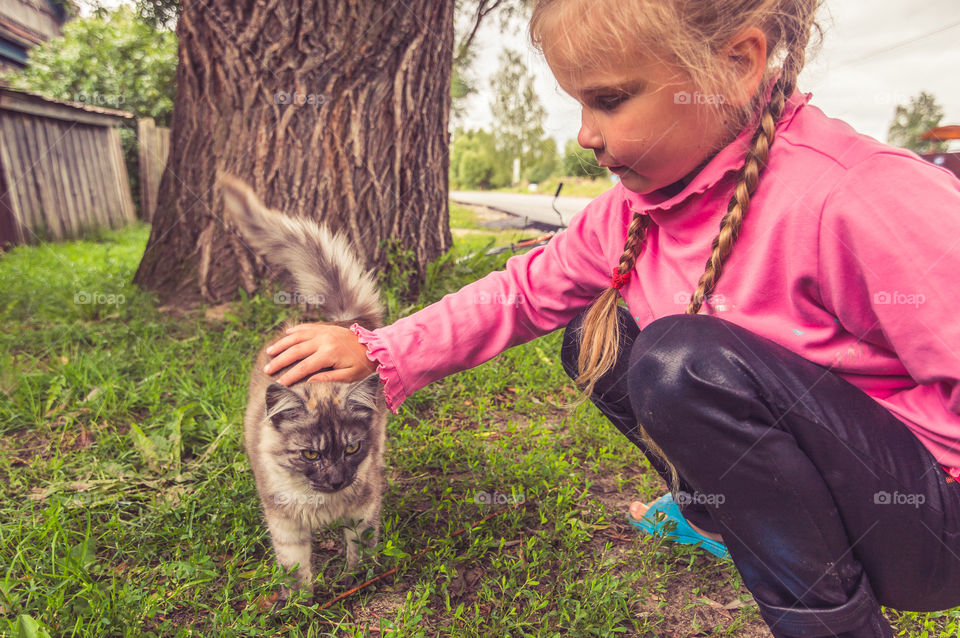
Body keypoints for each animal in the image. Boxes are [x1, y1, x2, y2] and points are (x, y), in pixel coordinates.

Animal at [219, 174, 388, 604]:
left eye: (351, 448)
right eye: (310, 454)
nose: (336, 479)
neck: (323, 503)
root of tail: (341, 323)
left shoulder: (364, 508)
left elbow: (360, 548)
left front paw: (357, 582)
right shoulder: (285, 523)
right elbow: (295, 567)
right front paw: (301, 604)